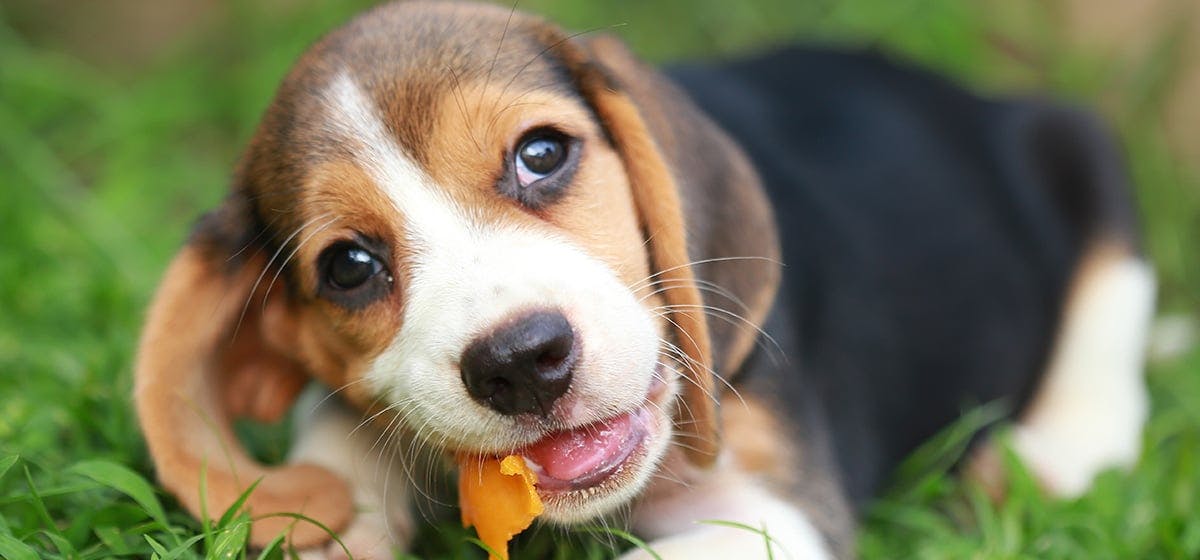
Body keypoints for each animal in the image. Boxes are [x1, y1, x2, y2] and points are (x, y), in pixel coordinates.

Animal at [133, 2, 1152, 558]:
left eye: (542, 154)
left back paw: (1054, 452)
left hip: (1078, 144)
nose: (521, 361)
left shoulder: (777, 516)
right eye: (349, 267)